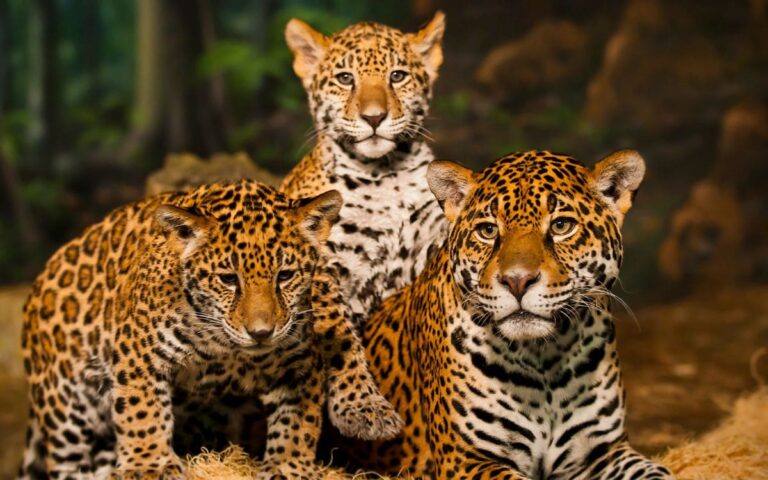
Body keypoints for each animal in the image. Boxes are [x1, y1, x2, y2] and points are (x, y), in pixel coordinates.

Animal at [19, 180, 354, 479]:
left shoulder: (301, 362)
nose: (261, 333)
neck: (226, 347)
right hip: (66, 411)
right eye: (228, 279)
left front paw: (288, 466)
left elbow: (298, 421)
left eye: (284, 276)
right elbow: (141, 409)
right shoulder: (138, 354)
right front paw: (148, 464)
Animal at [280, 12, 451, 441]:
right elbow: (339, 333)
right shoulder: (322, 266)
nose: (374, 117)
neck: (383, 176)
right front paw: (363, 409)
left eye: (397, 76)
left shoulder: (425, 247)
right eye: (345, 78)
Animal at [354, 150, 674, 479]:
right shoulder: (464, 459)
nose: (517, 281)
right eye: (488, 231)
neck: (545, 360)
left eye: (561, 226)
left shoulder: (604, 453)